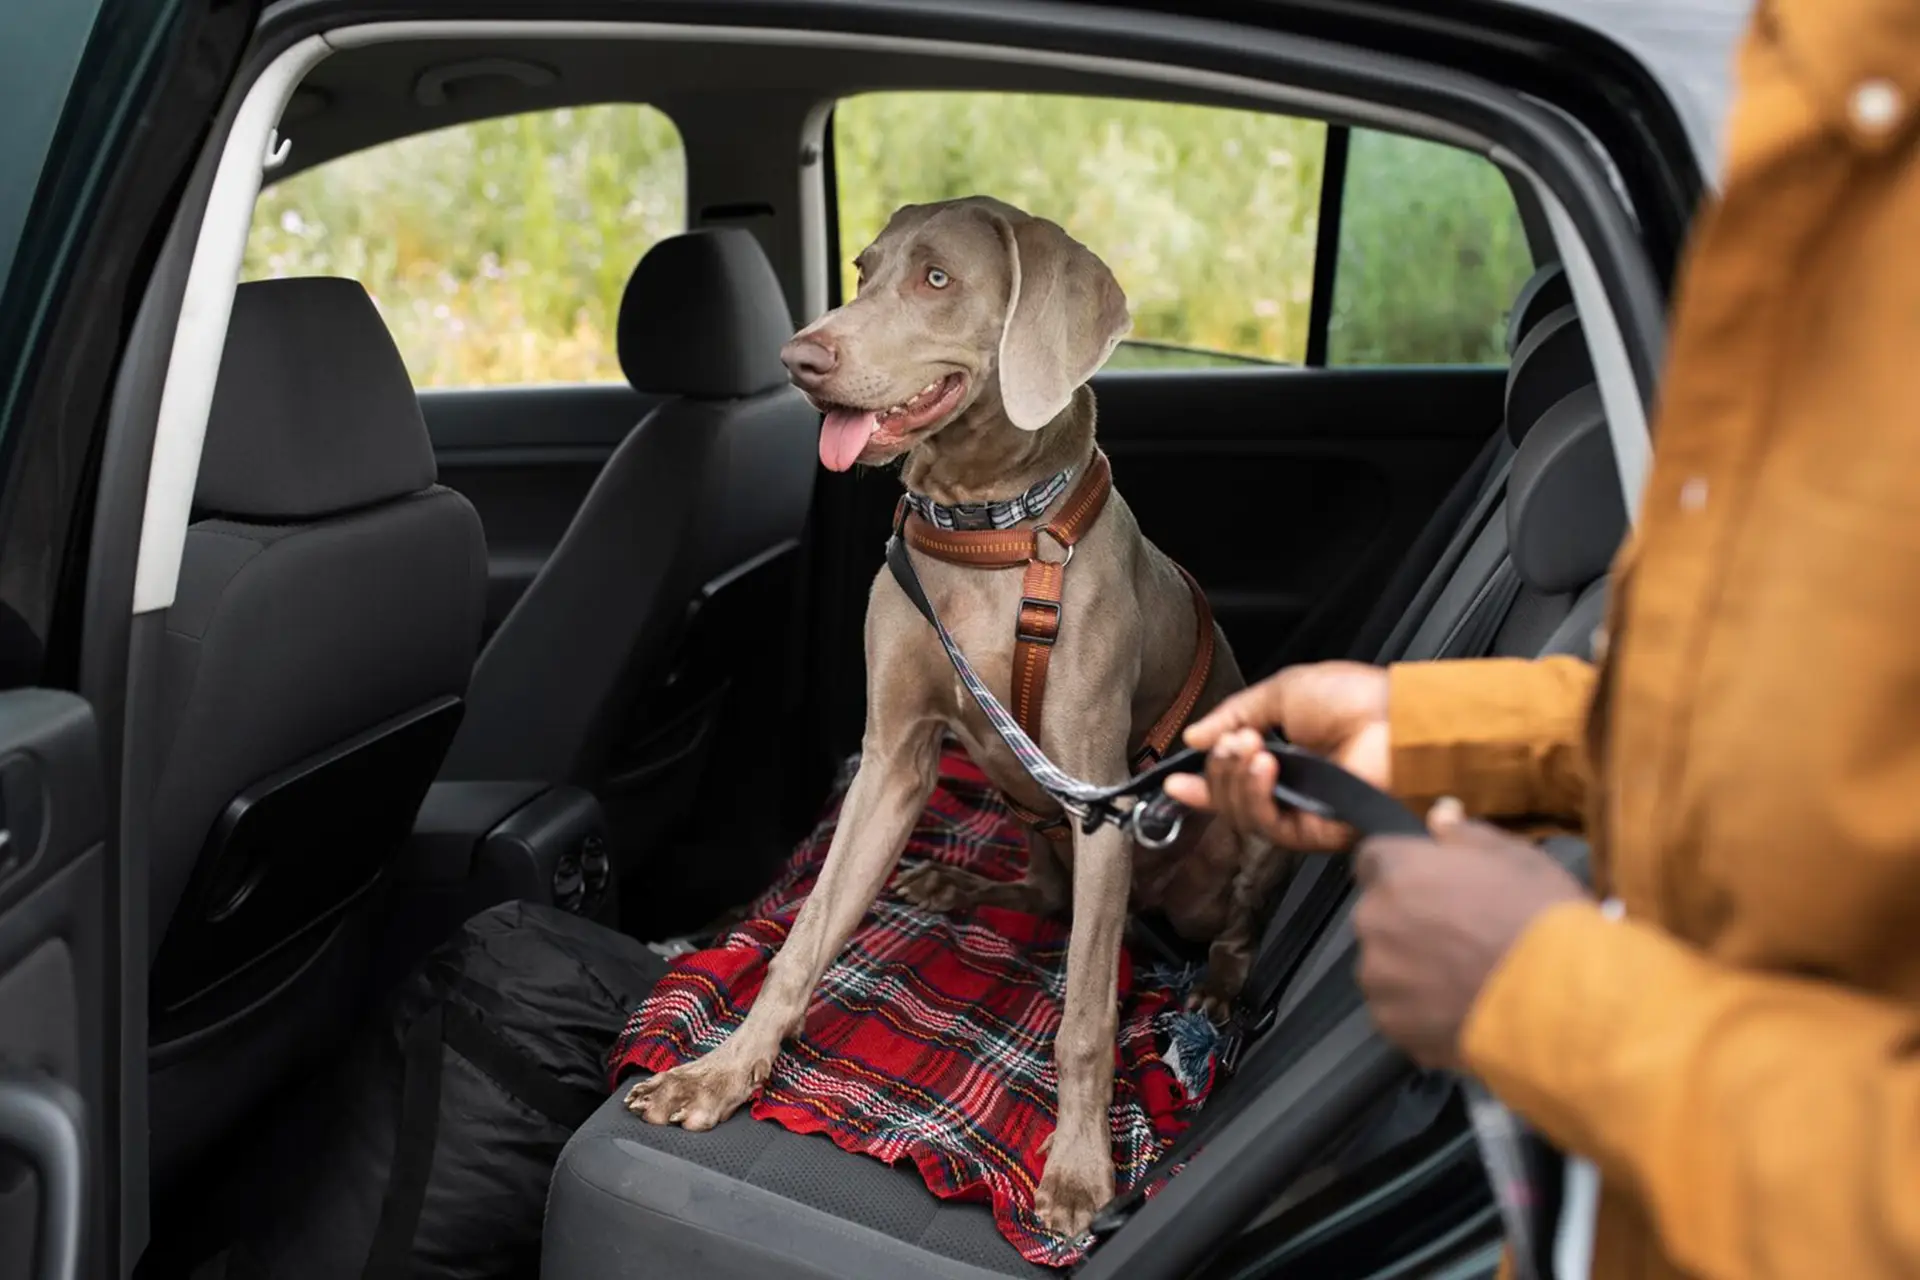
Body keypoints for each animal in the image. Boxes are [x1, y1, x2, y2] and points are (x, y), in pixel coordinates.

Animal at [625, 195, 1290, 1235]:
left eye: (937, 279)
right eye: (862, 269)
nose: (797, 359)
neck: (986, 530)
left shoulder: (1100, 804)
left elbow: (1086, 1019)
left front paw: (1077, 1170)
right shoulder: (891, 760)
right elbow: (803, 941)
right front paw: (721, 1074)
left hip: (1239, 817)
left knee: (1222, 930)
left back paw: (1216, 996)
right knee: (1047, 896)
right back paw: (954, 885)